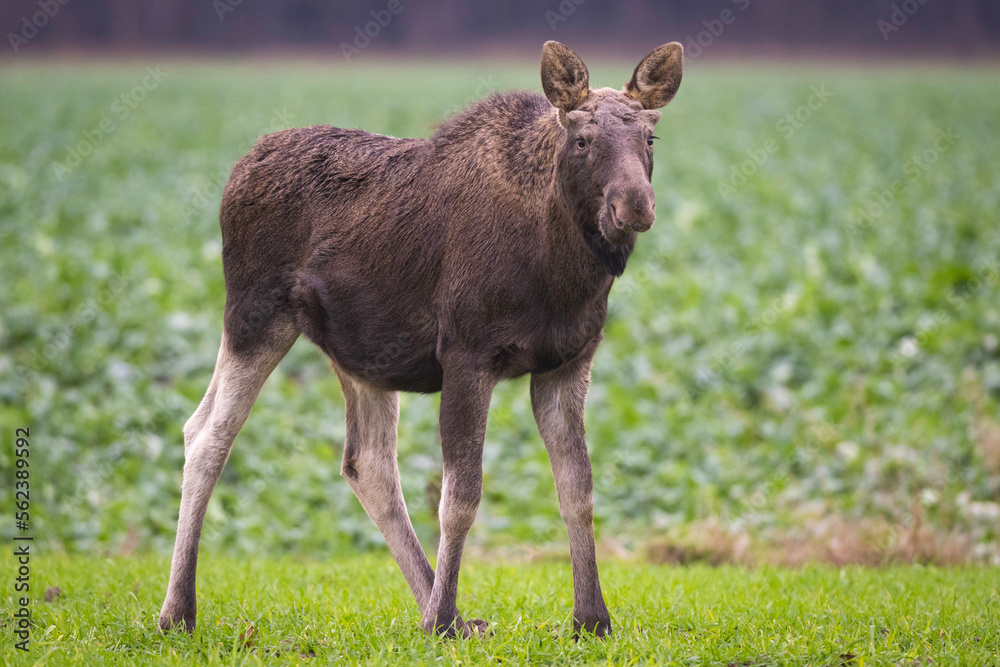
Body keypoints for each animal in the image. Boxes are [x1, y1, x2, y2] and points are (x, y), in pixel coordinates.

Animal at [159, 40, 683, 639]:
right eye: (582, 140)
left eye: (649, 138)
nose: (634, 205)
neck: (561, 271)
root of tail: (238, 171)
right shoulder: (467, 354)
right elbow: (461, 498)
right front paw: (445, 616)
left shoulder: (568, 362)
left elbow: (578, 490)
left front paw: (591, 618)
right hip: (254, 314)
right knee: (207, 435)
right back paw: (178, 611)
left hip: (359, 352)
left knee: (367, 463)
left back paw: (440, 607)